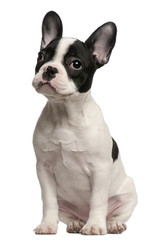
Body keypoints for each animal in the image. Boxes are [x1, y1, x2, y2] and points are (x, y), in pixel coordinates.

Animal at [32, 10, 137, 234]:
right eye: (41, 56)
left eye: (76, 64)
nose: (49, 69)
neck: (65, 115)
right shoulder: (43, 168)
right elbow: (48, 200)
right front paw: (47, 224)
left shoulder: (100, 169)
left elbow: (98, 200)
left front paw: (95, 225)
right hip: (64, 201)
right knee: (66, 211)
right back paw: (75, 223)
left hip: (128, 194)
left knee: (116, 213)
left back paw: (111, 224)